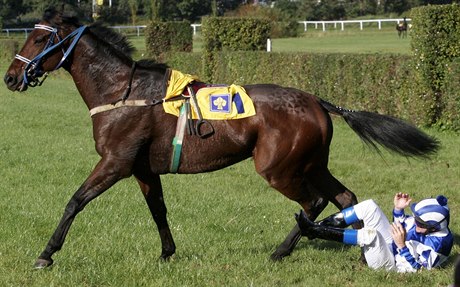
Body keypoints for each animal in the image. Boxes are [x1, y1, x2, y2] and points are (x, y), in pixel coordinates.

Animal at [4, 9, 442, 270]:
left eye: (40, 40)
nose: (10, 77)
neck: (121, 91)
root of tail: (317, 100)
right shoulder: (143, 168)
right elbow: (158, 211)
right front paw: (167, 253)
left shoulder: (115, 162)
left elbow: (75, 201)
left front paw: (46, 254)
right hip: (312, 162)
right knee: (345, 197)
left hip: (278, 166)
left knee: (313, 203)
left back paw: (283, 249)